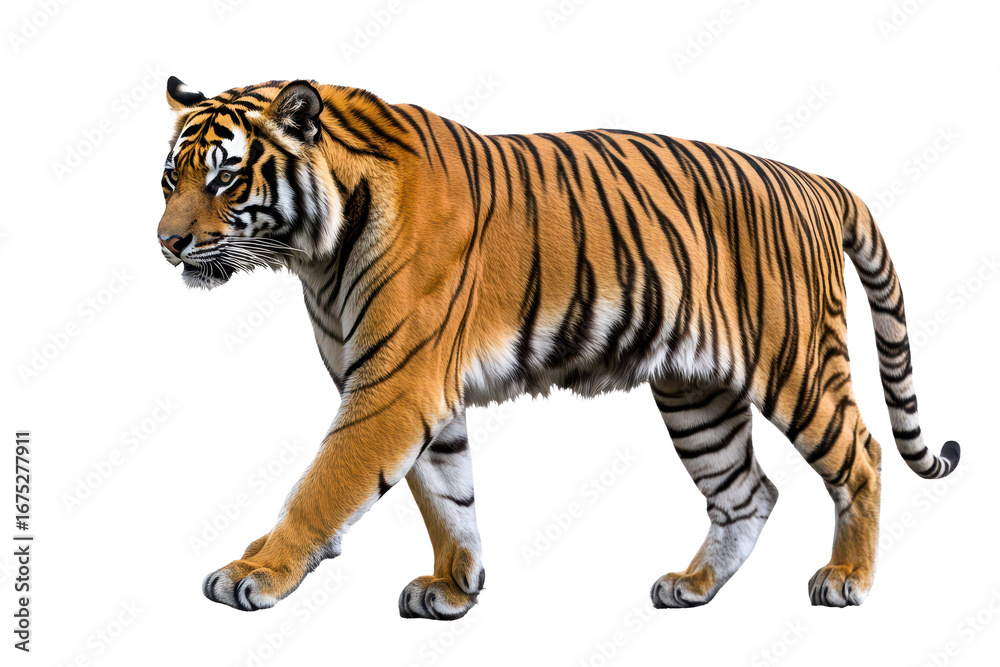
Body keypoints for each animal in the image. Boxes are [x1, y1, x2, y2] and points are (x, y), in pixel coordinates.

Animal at [157, 76, 960, 617]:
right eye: (170, 179)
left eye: (225, 178)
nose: (167, 243)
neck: (314, 252)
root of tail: (815, 180)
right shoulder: (419, 390)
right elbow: (447, 493)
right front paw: (455, 587)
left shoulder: (392, 388)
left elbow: (323, 485)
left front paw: (255, 572)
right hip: (697, 394)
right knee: (746, 490)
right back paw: (693, 586)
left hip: (797, 364)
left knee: (862, 455)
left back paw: (847, 579)